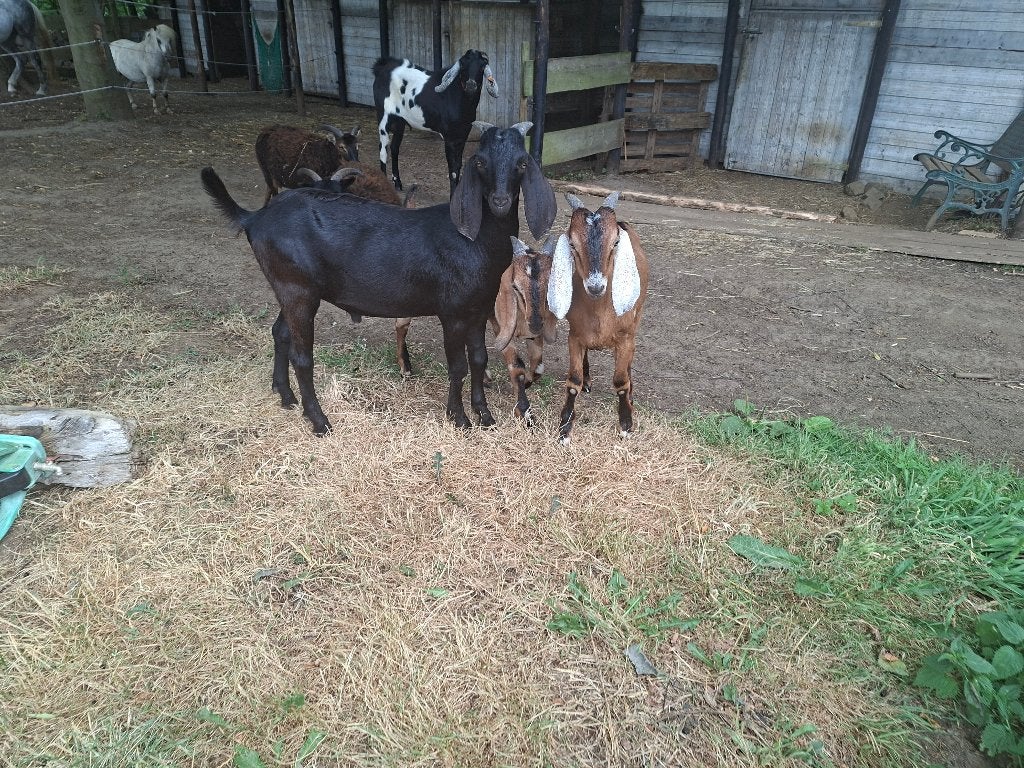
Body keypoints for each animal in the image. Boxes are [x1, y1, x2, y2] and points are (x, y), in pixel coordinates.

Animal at [373, 49, 498, 197]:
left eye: (482, 66)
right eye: (463, 65)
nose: (471, 85)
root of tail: (383, 66)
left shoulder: (463, 135)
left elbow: (458, 166)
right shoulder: (449, 138)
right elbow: (453, 171)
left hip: (400, 121)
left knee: (394, 148)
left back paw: (397, 182)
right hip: (383, 116)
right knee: (383, 150)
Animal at [491, 235, 558, 425]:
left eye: (550, 286)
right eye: (515, 287)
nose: (535, 324)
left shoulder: (535, 336)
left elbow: (537, 366)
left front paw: (527, 382)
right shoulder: (501, 328)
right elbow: (517, 366)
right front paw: (525, 414)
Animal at [547, 192, 649, 445]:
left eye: (615, 243)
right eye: (572, 244)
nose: (595, 287)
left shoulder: (625, 337)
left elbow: (621, 382)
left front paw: (626, 424)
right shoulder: (574, 335)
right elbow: (573, 381)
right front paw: (565, 428)